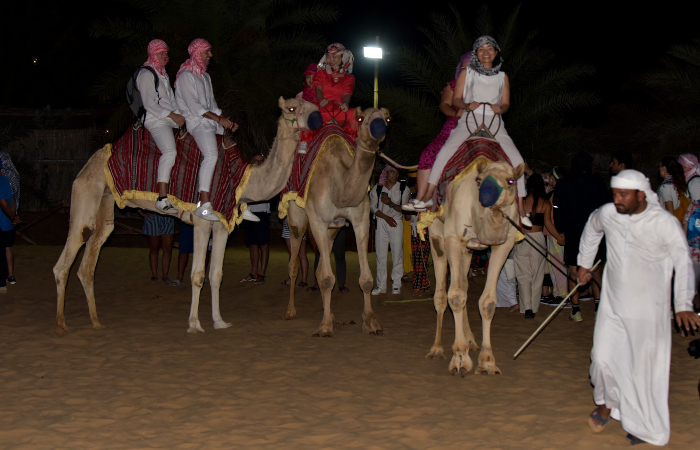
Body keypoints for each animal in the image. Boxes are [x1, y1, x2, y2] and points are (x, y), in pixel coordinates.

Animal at [53, 98, 322, 334]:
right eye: (292, 107)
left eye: (311, 103)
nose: (318, 117)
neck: (242, 180)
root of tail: (87, 166)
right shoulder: (202, 220)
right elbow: (198, 275)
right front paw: (194, 325)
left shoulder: (222, 225)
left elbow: (216, 275)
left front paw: (219, 321)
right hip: (86, 194)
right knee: (66, 258)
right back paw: (62, 325)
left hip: (106, 203)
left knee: (89, 260)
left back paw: (96, 322)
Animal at [282, 107, 392, 336]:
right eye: (361, 118)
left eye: (387, 118)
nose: (378, 127)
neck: (339, 189)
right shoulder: (317, 221)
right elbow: (326, 279)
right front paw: (324, 327)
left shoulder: (361, 220)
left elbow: (366, 280)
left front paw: (371, 323)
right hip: (296, 218)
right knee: (294, 264)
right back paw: (290, 311)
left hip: (333, 230)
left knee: (319, 268)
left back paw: (330, 313)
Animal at [422, 159, 524, 376]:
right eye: (479, 180)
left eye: (511, 180)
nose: (487, 196)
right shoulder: (454, 238)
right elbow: (455, 296)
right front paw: (459, 358)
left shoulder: (504, 244)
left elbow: (487, 302)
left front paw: (487, 362)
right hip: (436, 234)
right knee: (442, 294)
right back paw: (437, 349)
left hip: (468, 251)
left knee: (464, 285)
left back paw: (470, 341)